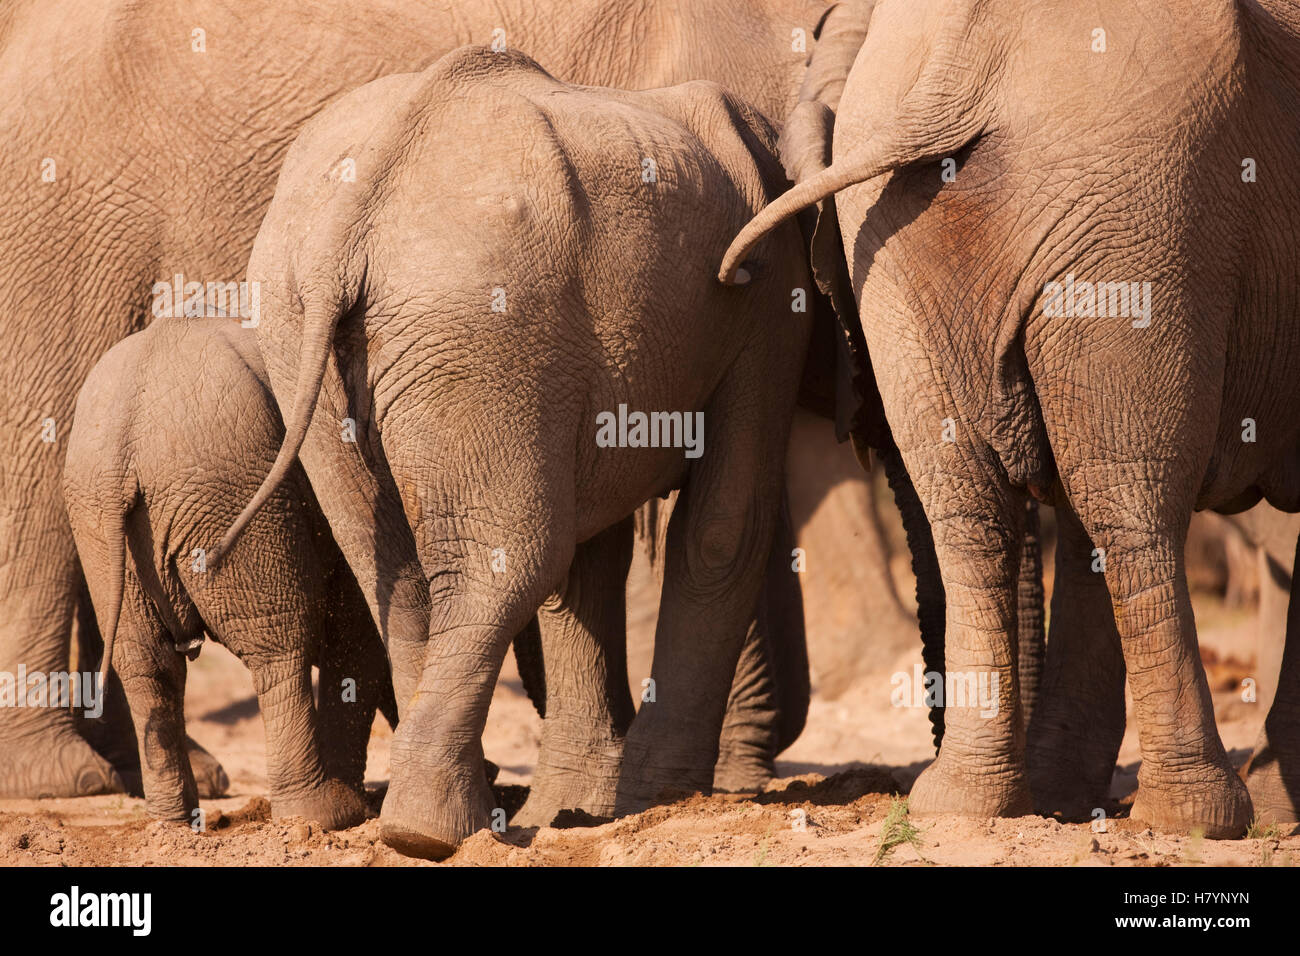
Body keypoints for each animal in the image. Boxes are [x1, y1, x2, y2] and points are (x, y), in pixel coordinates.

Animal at [63, 317, 397, 828]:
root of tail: (123, 436)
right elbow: (360, 635)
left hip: (99, 521)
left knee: (145, 663)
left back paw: (175, 824)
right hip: (231, 493)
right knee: (279, 644)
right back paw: (323, 815)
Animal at [215, 46, 812, 858]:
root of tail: (351, 215)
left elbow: (592, 562)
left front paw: (580, 806)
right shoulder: (766, 299)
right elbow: (722, 527)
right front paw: (657, 798)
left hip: (309, 324)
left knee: (397, 567)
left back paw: (437, 825)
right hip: (478, 322)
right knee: (517, 554)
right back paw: (434, 833)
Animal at [722, 0, 1300, 837]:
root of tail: (957, 69)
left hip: (911, 240)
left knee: (978, 513)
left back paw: (967, 803)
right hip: (1143, 218)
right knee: (1129, 504)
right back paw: (1198, 817)